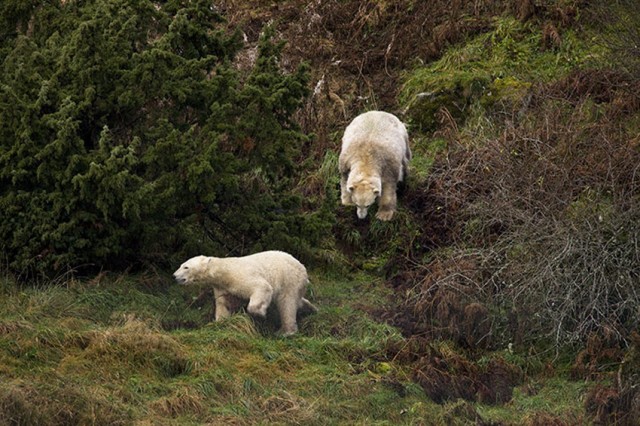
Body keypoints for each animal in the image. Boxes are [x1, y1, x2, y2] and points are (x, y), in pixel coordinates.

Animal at [172, 250, 318, 336]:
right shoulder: (222, 287)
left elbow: (262, 286)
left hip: (288, 279)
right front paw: (220, 323)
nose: (174, 276)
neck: (223, 271)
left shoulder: (239, 277)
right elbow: (224, 304)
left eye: (186, 267)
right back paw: (311, 309)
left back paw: (285, 331)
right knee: (296, 301)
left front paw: (259, 314)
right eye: (181, 265)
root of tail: (302, 266)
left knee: (287, 304)